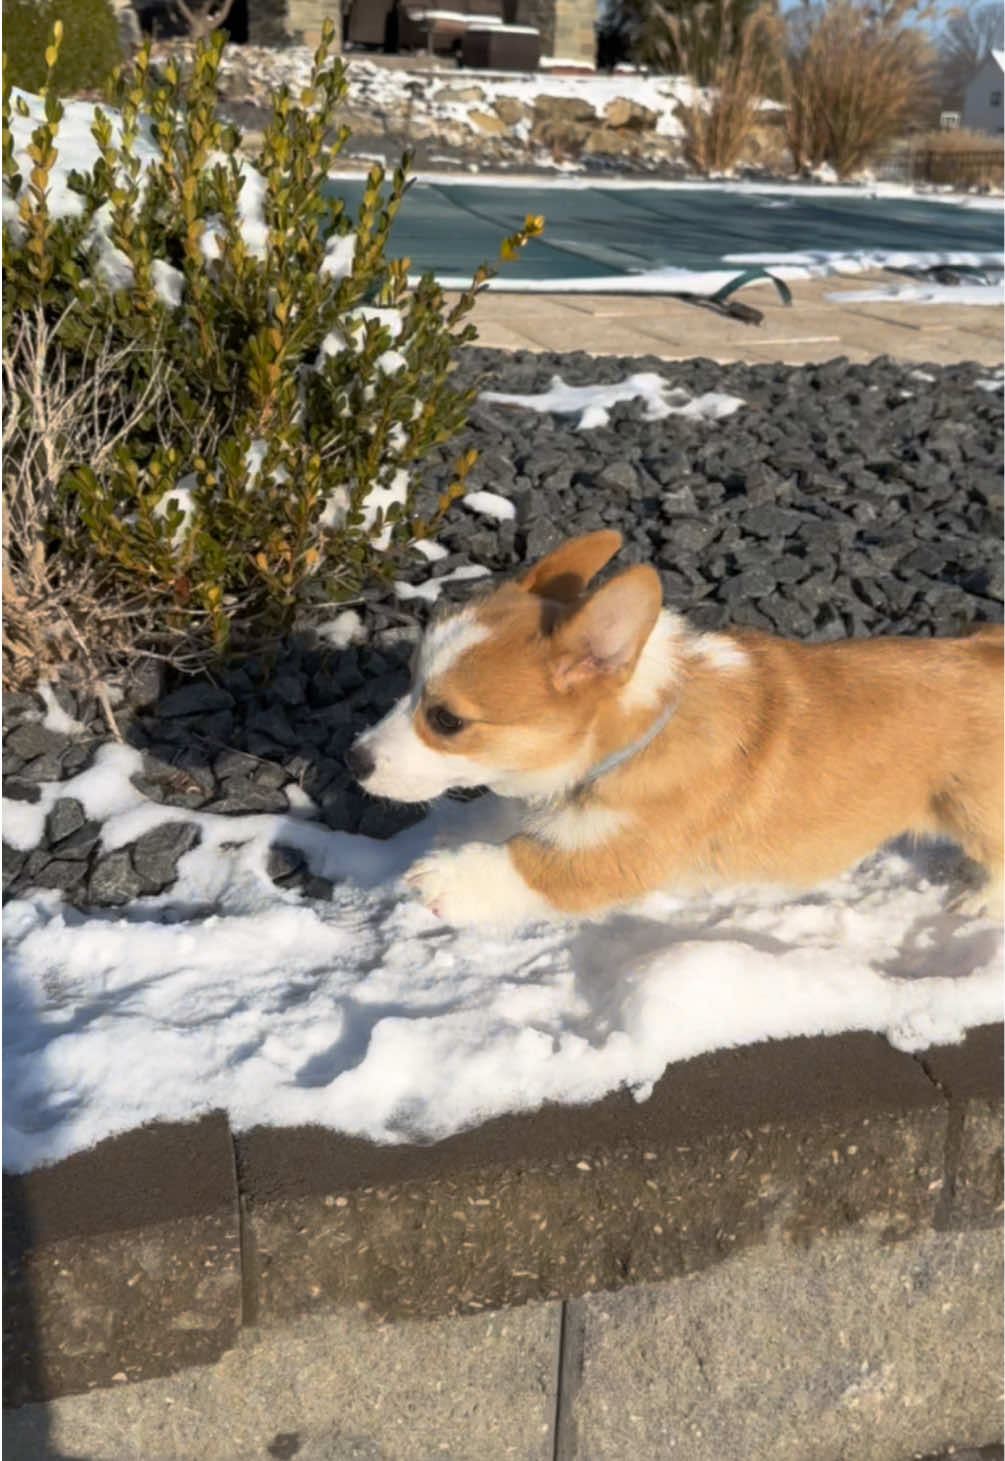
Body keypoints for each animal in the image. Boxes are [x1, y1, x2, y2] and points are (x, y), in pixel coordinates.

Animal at [347, 534, 1005, 923]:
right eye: (409, 683)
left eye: (447, 720)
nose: (353, 760)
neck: (636, 736)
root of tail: (987, 649)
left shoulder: (619, 854)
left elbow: (528, 863)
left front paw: (442, 876)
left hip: (976, 814)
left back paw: (975, 899)